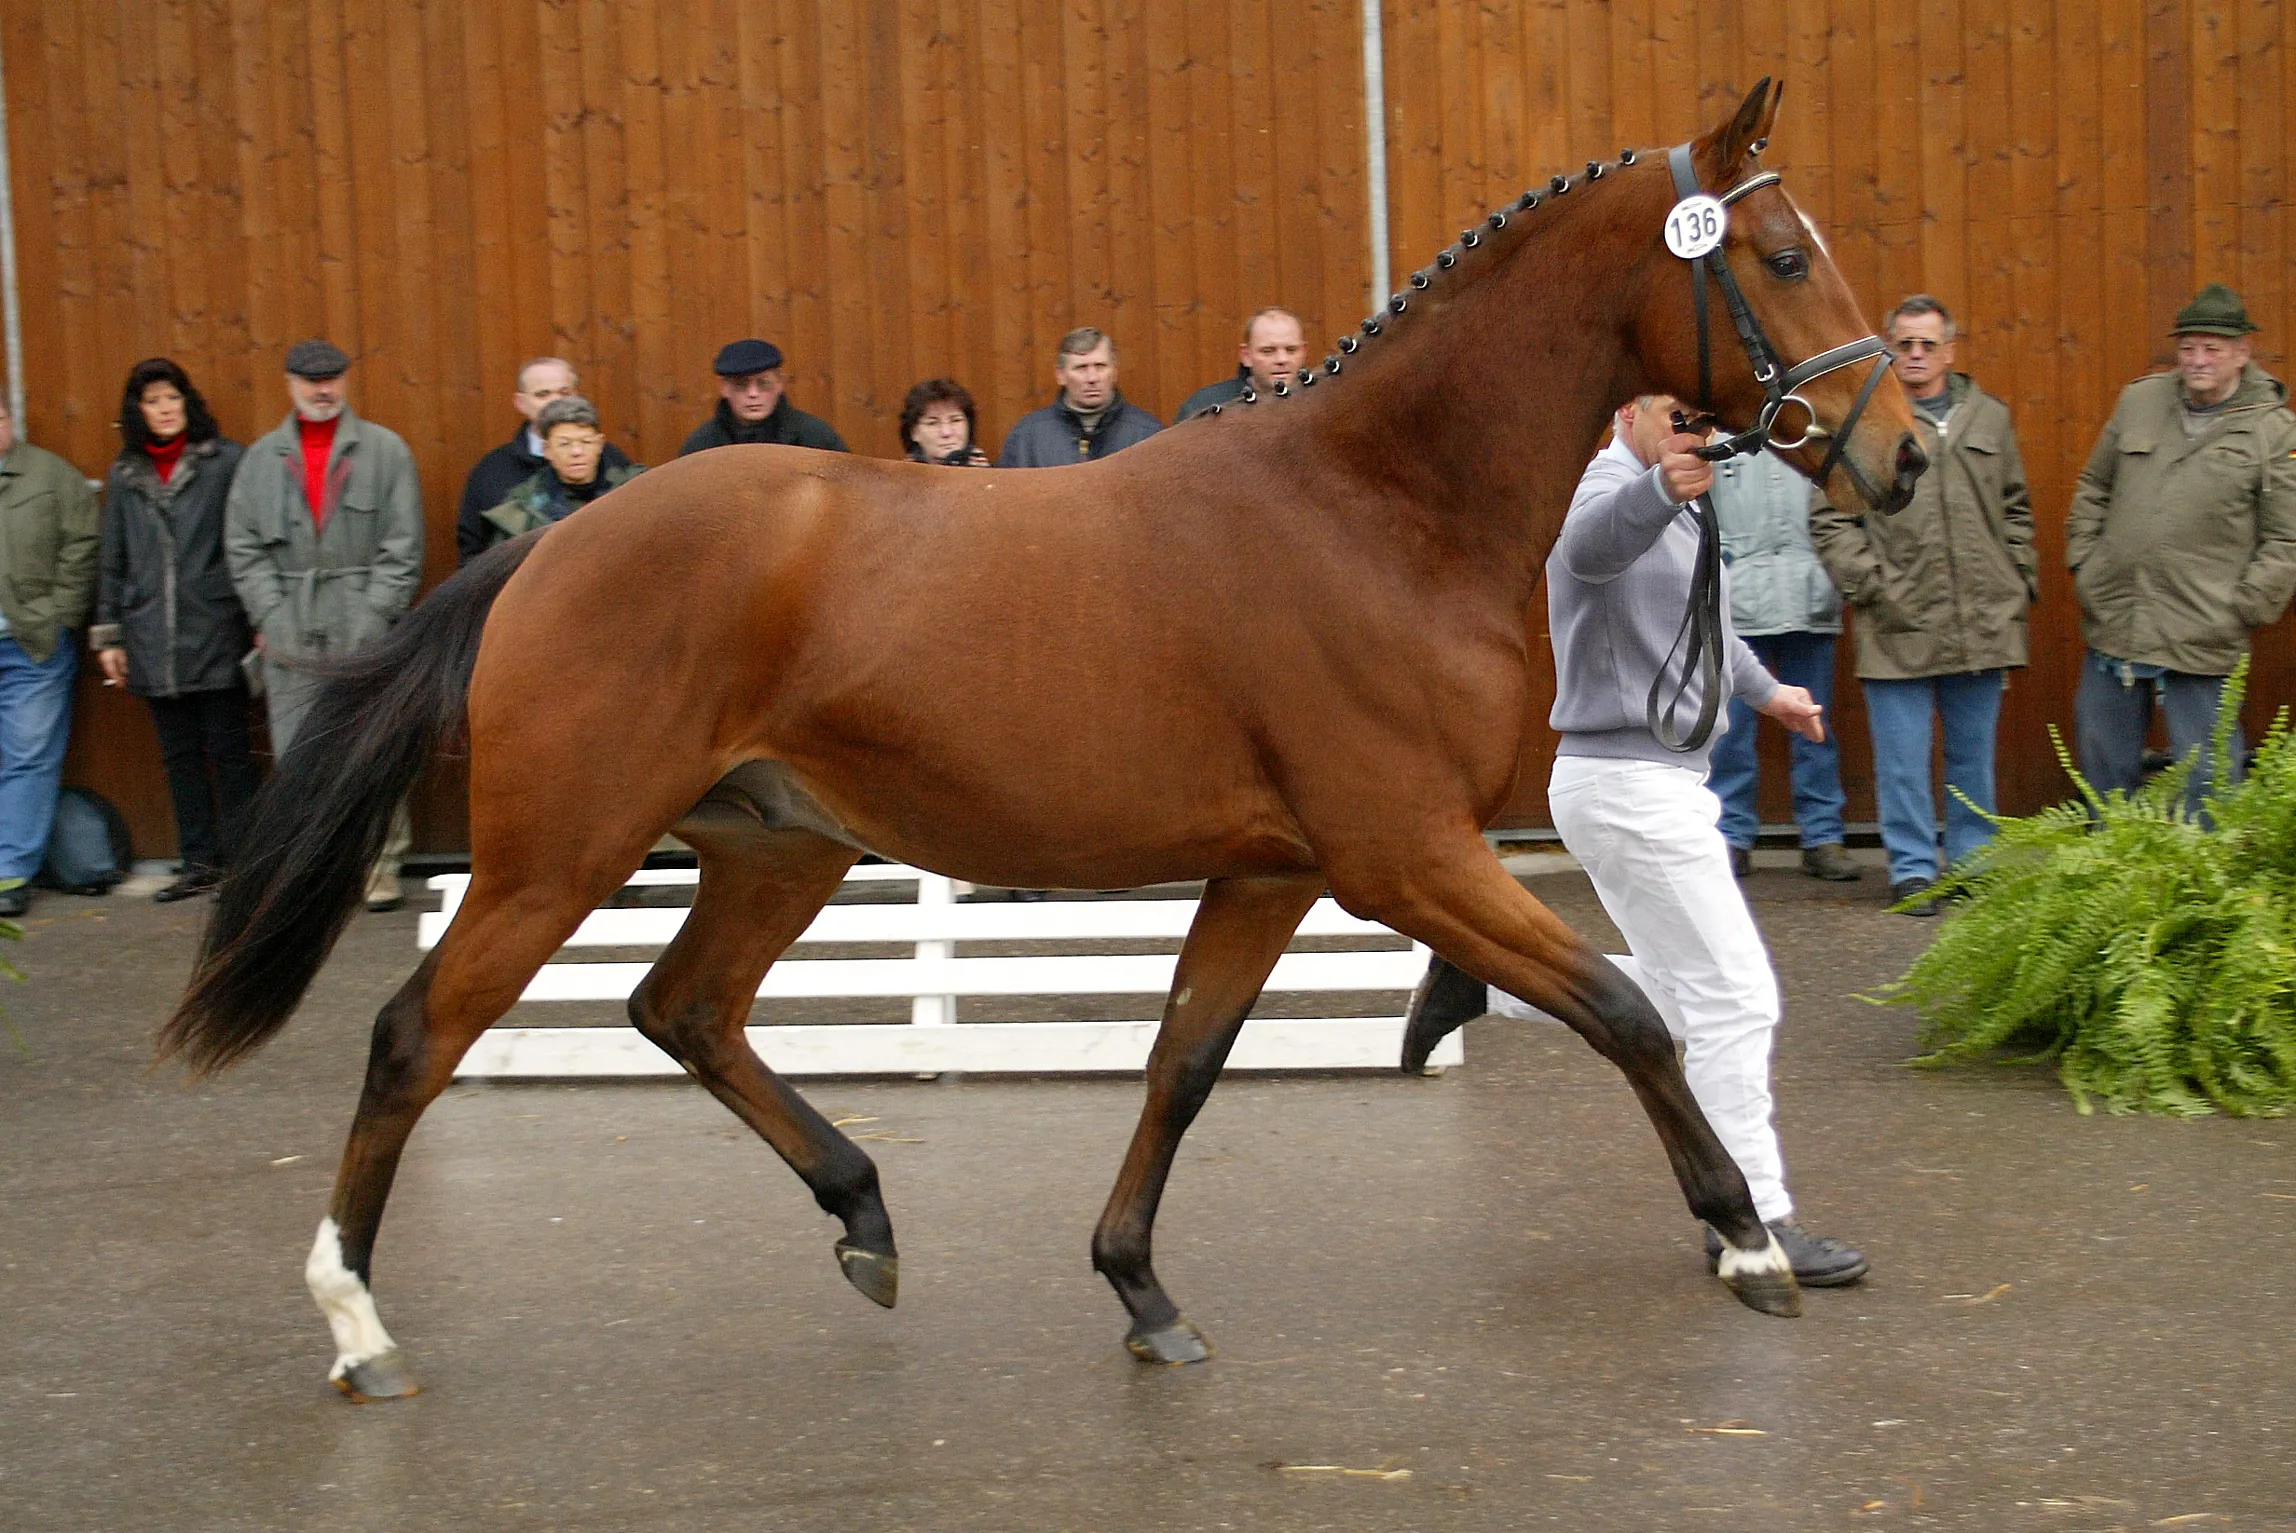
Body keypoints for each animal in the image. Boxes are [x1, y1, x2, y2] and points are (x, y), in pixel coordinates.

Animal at [163, 80, 1924, 1401]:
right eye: (1777, 254)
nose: (1901, 453)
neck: (1377, 508)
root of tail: (551, 542)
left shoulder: (1277, 871)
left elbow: (1184, 1060)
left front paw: (1139, 1288)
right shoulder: (1401, 854)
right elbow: (1629, 1010)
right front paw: (1748, 1240)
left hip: (778, 846)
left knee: (684, 1010)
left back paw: (863, 1215)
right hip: (560, 853)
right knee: (419, 1035)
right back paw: (358, 1324)